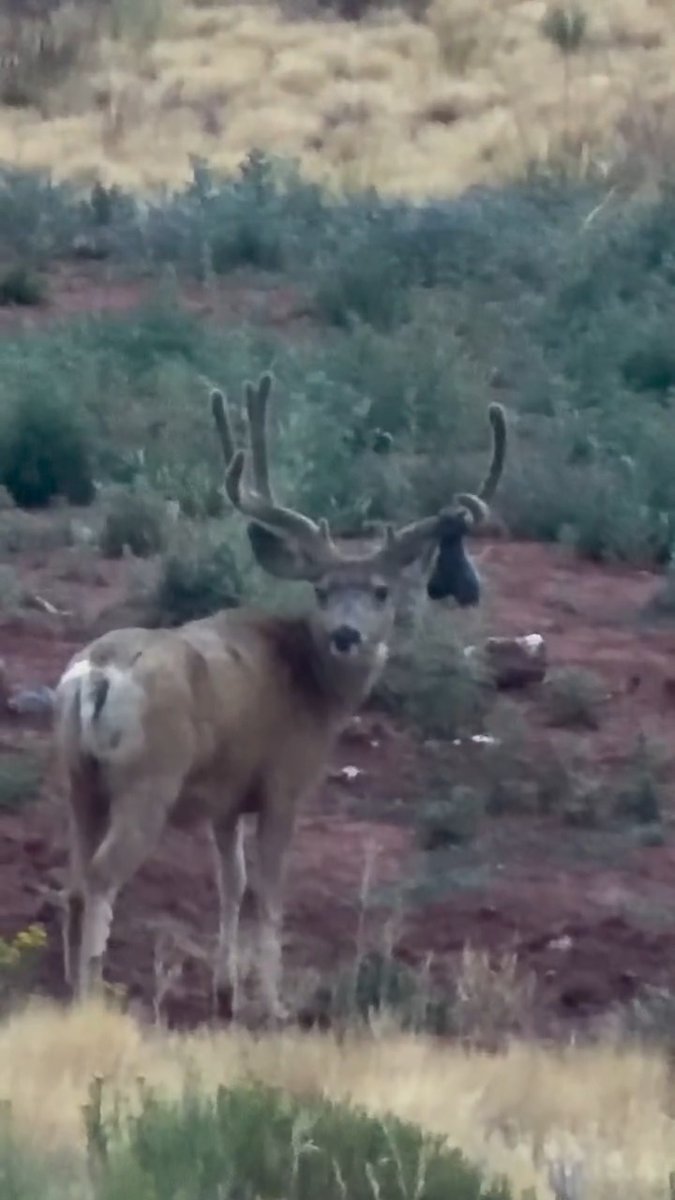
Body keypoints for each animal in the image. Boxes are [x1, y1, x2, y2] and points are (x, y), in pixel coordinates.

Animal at [53, 373, 507, 1024]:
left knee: (71, 878)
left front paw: (226, 995)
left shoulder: (225, 798)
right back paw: (91, 997)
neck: (312, 683)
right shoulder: (284, 782)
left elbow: (232, 884)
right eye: (322, 589)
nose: (347, 635)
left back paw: (67, 987)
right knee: (101, 874)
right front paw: (272, 1006)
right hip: (149, 778)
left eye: (380, 590)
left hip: (77, 776)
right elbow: (269, 893)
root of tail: (97, 673)